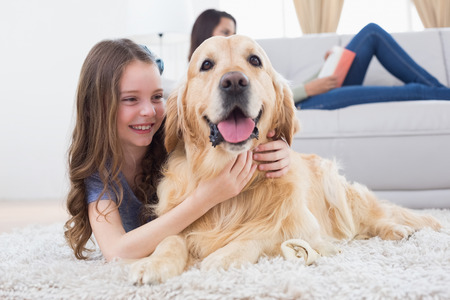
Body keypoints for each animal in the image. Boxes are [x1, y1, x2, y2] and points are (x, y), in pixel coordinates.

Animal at [128, 34, 442, 284]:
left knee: (372, 218)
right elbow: (169, 238)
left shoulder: (305, 228)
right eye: (206, 65)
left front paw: (224, 256)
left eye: (254, 60)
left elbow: (261, 233)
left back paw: (398, 228)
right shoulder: (176, 218)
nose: (234, 82)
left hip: (338, 192)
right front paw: (152, 263)